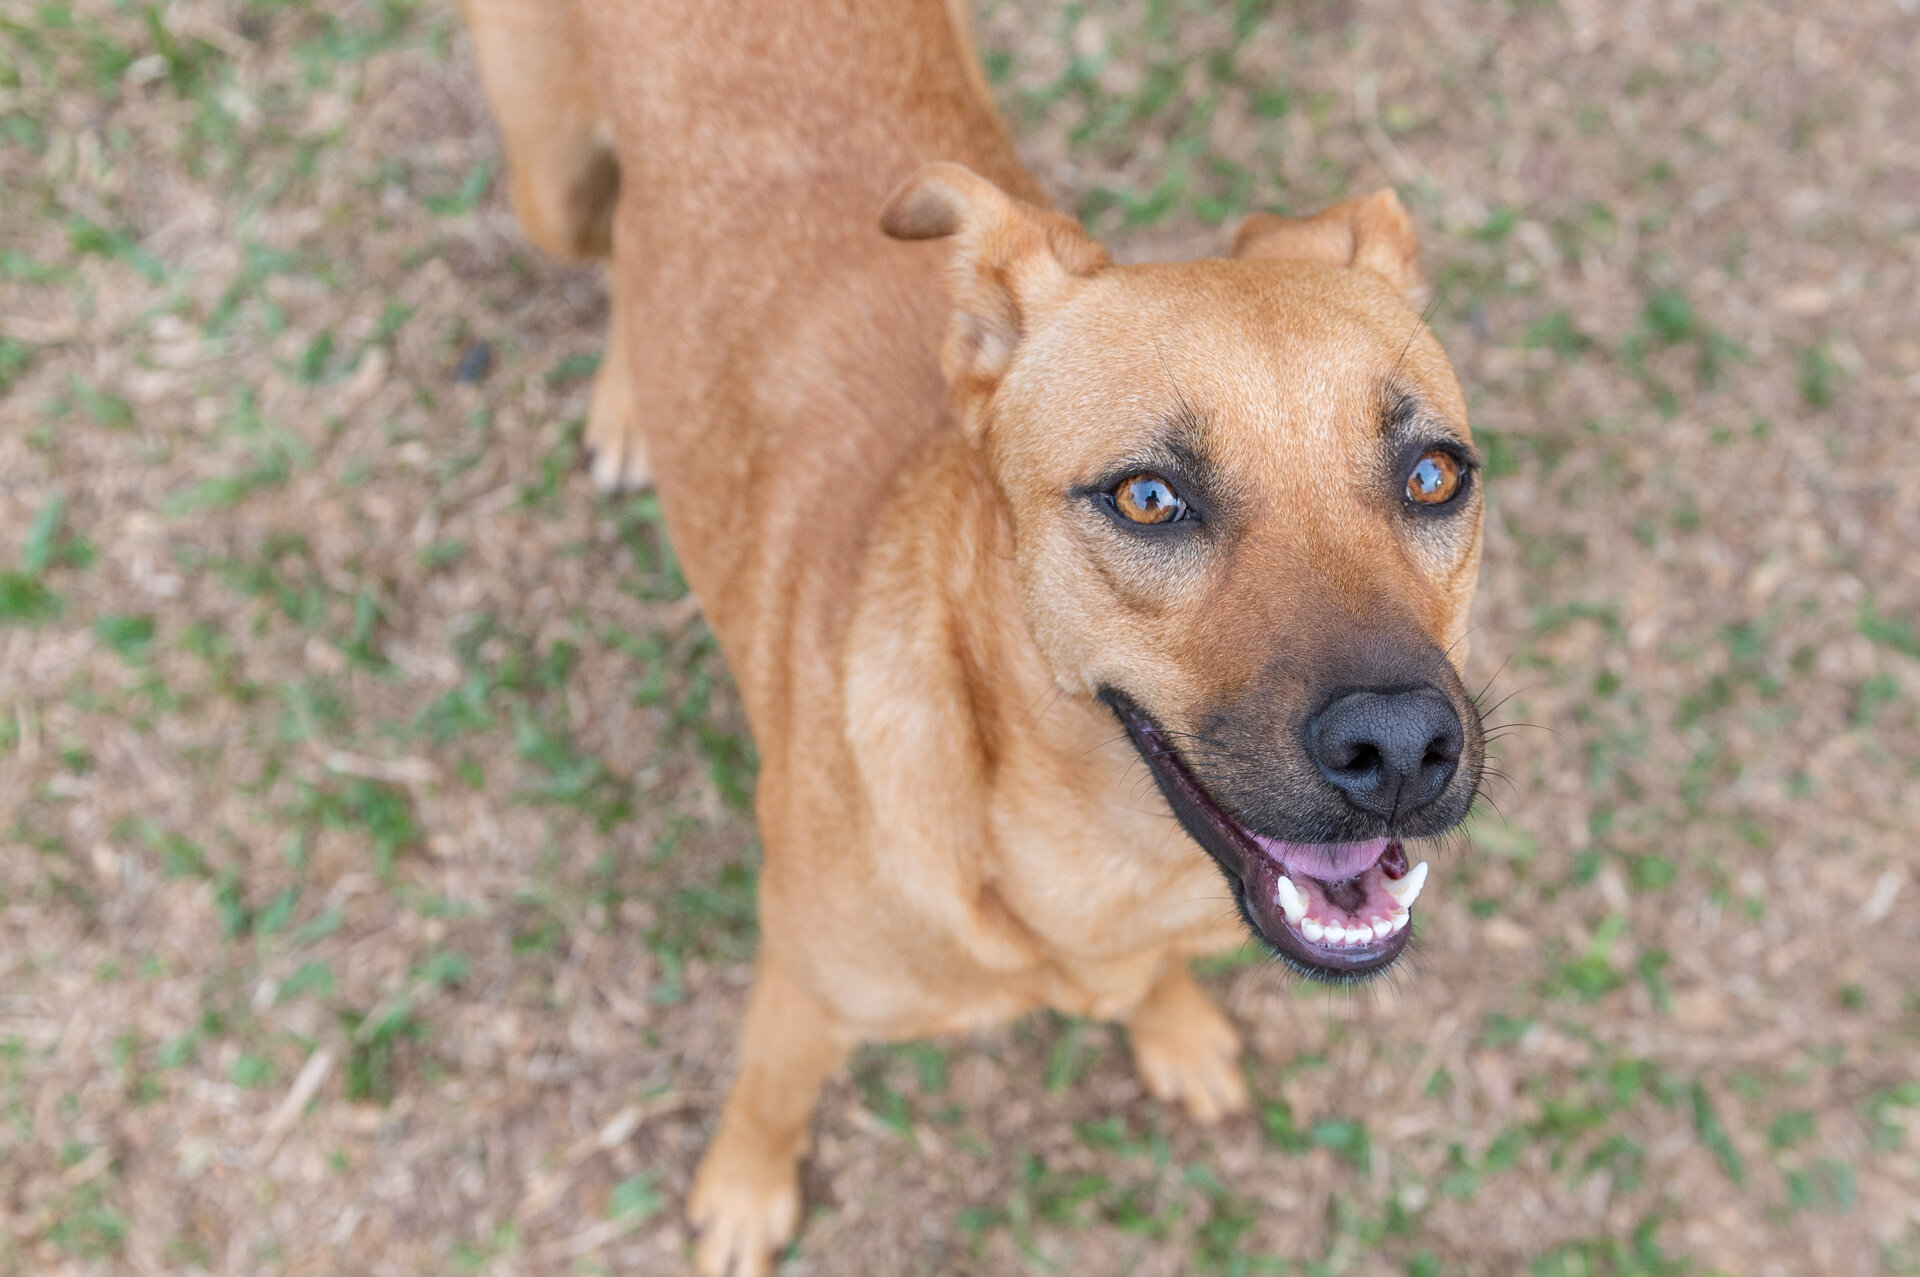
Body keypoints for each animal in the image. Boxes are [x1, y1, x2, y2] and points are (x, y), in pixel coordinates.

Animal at [458, 1, 1485, 1272]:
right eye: (1150, 497)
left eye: (1435, 475)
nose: (1401, 749)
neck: (1097, 863)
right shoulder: (802, 988)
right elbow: (769, 1098)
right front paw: (744, 1191)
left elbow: (1158, 983)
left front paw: (1176, 1028)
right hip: (549, 179)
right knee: (607, 253)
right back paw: (624, 403)